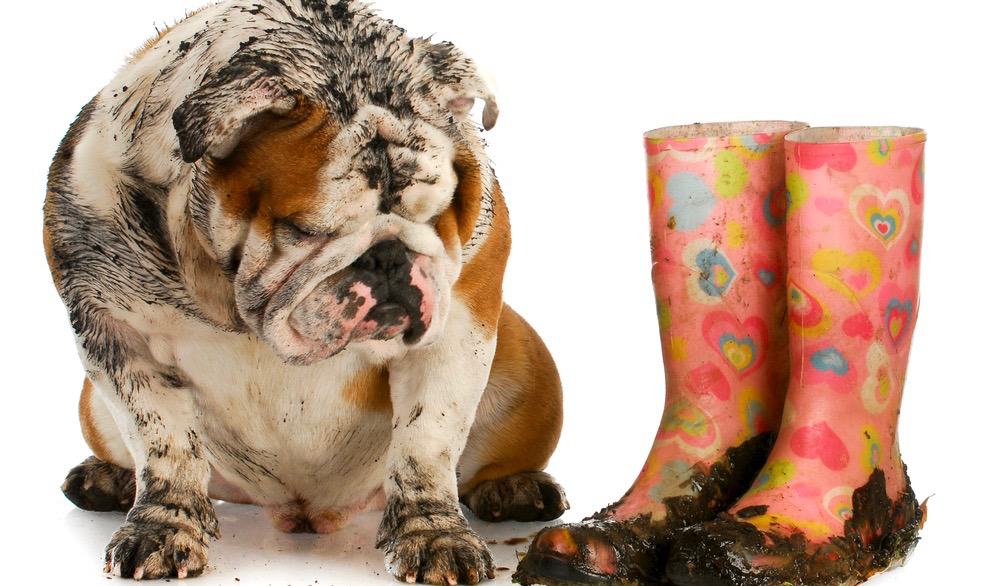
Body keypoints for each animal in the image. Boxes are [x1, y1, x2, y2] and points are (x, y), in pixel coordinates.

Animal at [45, 2, 564, 580]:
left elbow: (427, 442)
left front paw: (434, 536)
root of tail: (306, 510)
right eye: (305, 229)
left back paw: (514, 488)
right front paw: (163, 527)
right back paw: (106, 478)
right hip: (93, 405)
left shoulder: (459, 331)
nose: (388, 257)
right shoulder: (115, 331)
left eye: (437, 213)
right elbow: (163, 440)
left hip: (527, 367)